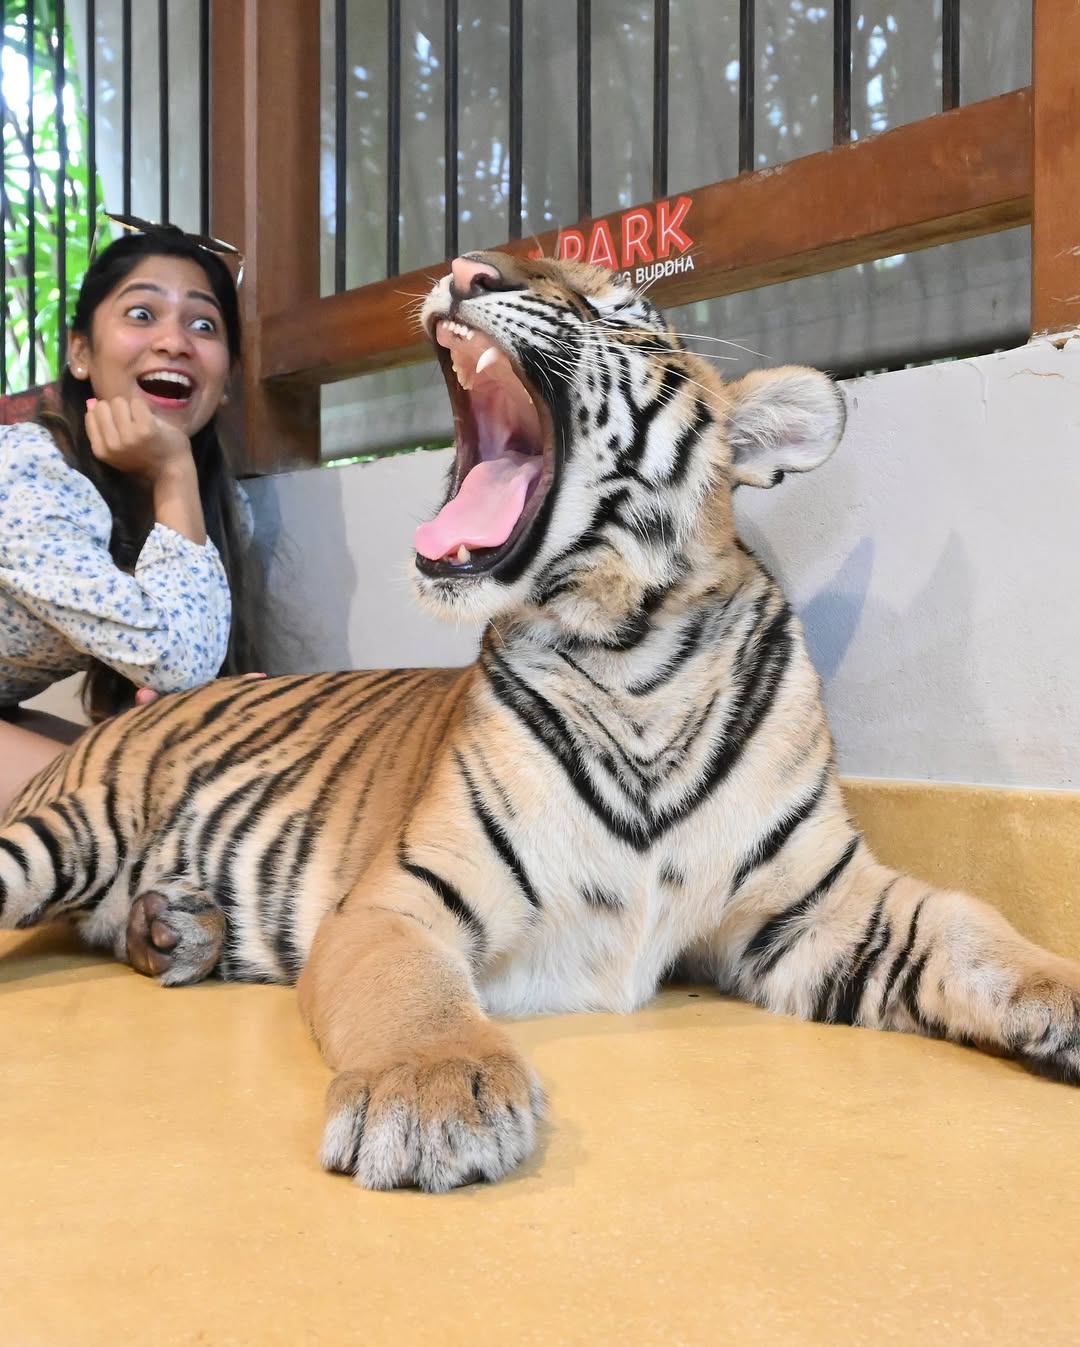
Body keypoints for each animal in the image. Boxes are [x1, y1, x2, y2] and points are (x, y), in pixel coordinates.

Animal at [4, 250, 1080, 1194]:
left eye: (623, 313)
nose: (465, 267)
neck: (636, 662)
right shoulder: (398, 903)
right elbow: (415, 998)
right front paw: (433, 1096)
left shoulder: (819, 904)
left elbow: (975, 927)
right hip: (67, 831)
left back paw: (176, 929)